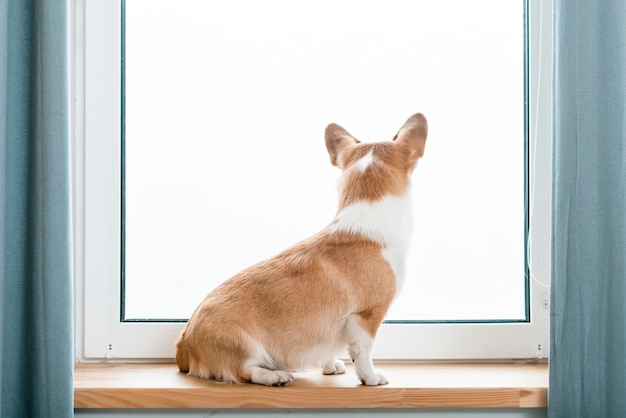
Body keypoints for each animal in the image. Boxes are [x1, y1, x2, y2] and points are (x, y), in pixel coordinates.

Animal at [178, 112, 426, 386]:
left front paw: (330, 366)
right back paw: (274, 376)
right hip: (244, 346)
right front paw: (370, 377)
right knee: (244, 371)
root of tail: (184, 344)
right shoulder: (366, 316)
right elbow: (363, 353)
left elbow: (330, 348)